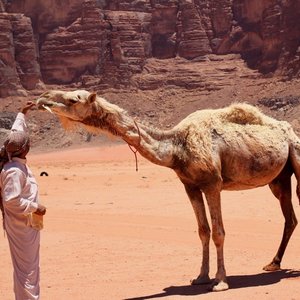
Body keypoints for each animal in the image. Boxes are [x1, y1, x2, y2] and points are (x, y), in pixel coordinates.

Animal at [35, 89, 300, 290]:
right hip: (279, 178)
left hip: (295, 154)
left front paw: (220, 281)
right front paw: (200, 277)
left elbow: (218, 232)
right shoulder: (190, 186)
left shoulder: (212, 184)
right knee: (290, 217)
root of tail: (290, 130)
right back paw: (273, 264)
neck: (176, 147)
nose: (42, 98)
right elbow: (203, 231)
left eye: (73, 99)